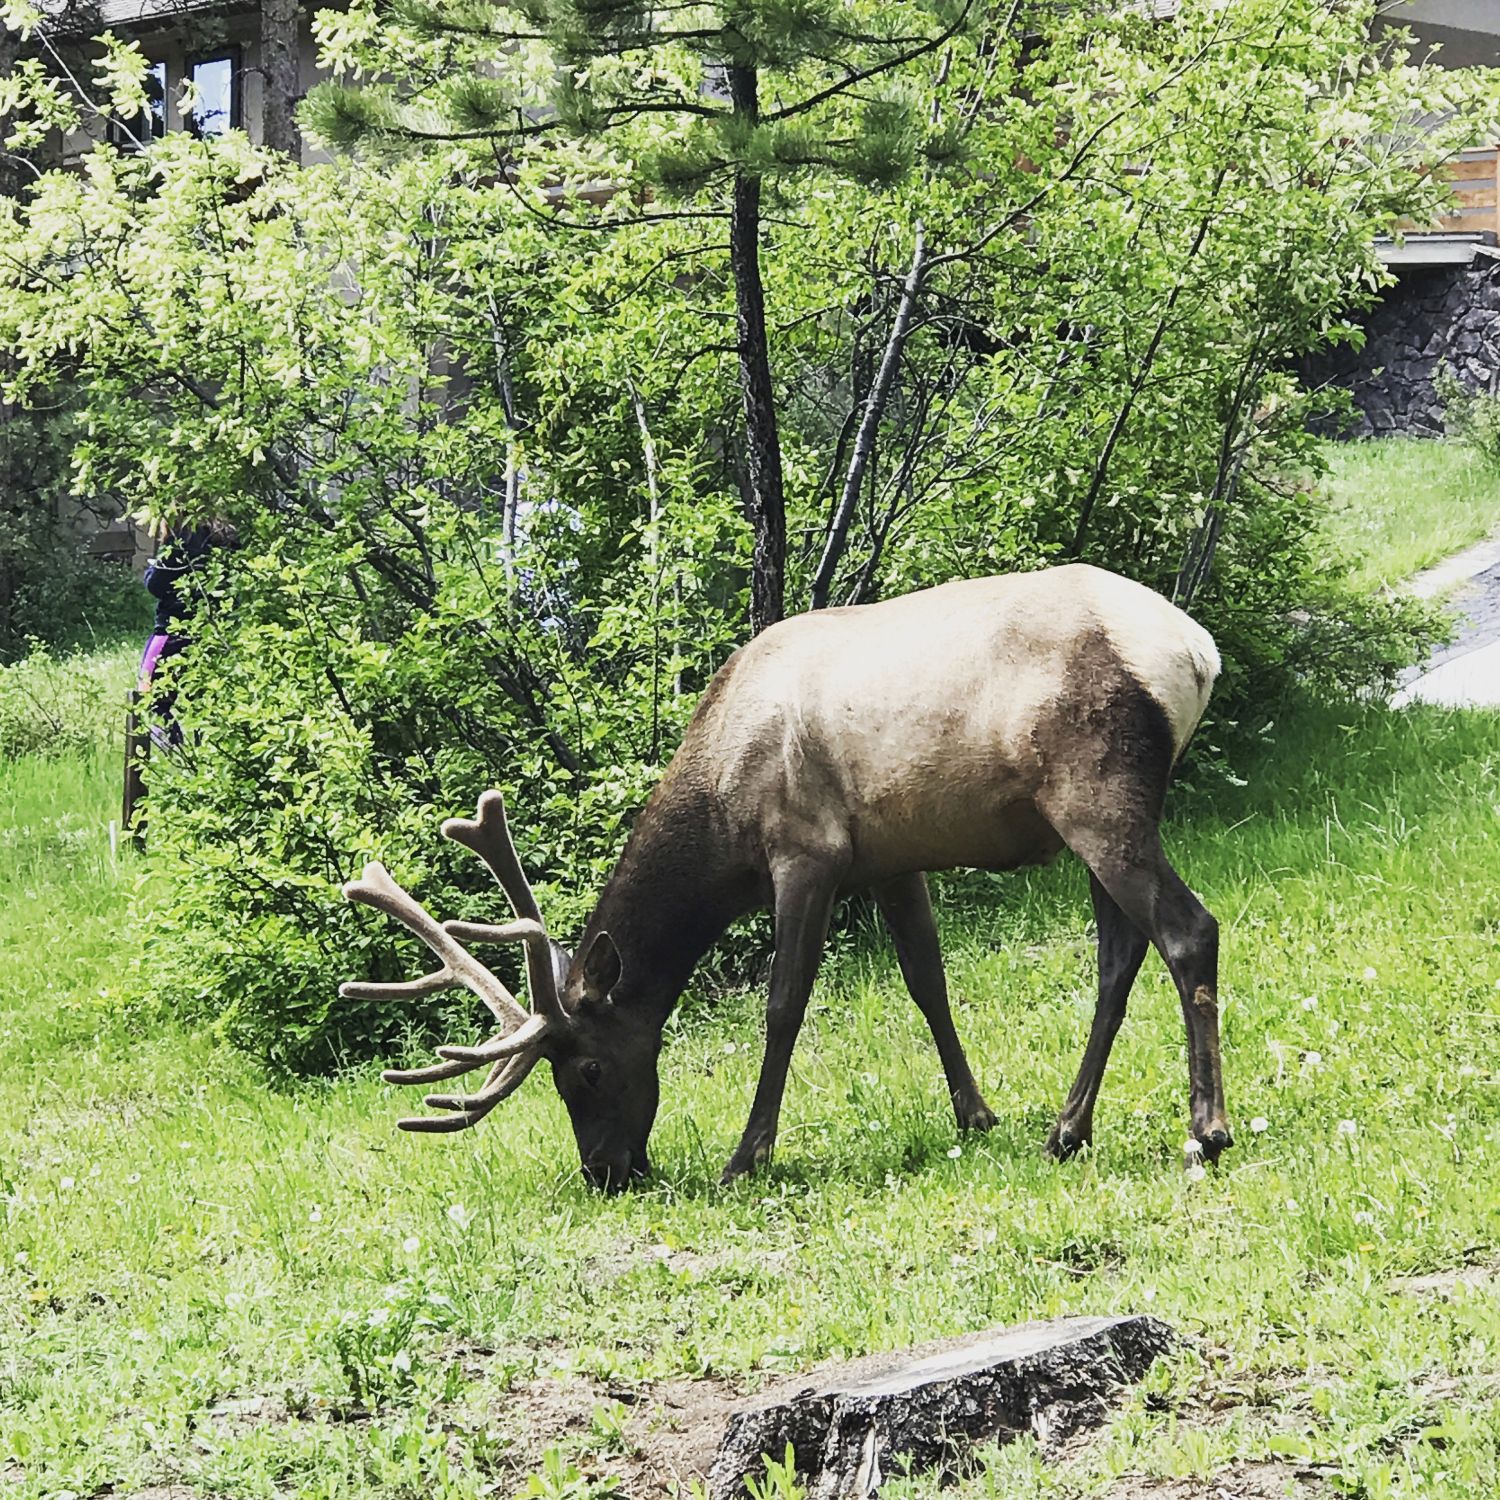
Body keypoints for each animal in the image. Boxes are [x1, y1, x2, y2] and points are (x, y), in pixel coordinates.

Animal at [343, 564, 1230, 1194]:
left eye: (587, 1069)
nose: (605, 1172)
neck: (720, 814)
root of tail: (1195, 652)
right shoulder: (893, 861)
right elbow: (928, 982)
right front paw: (976, 1114)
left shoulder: (806, 853)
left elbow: (783, 1004)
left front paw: (747, 1155)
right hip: (1094, 814)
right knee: (1119, 956)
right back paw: (1067, 1129)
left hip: (1098, 792)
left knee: (1189, 930)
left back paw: (1205, 1130)